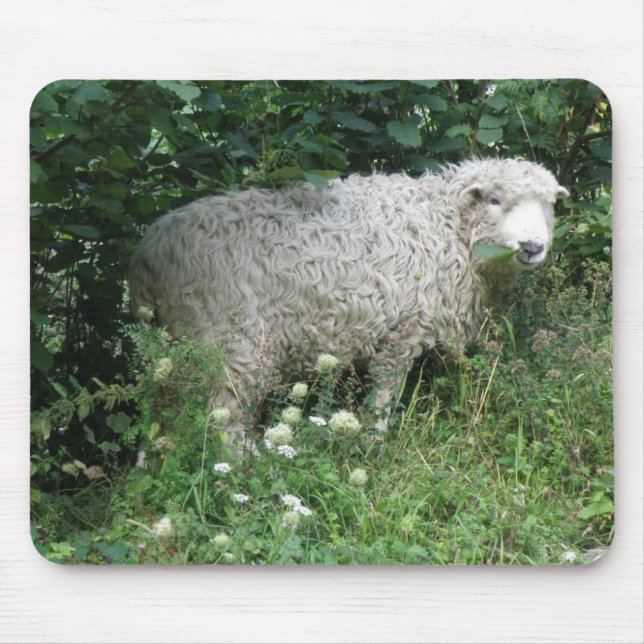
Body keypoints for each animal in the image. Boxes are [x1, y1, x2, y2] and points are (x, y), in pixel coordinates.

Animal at [129, 158, 568, 438]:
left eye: (549, 205)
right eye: (495, 200)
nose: (533, 247)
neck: (444, 225)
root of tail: (149, 253)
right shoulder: (401, 334)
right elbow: (383, 400)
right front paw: (374, 447)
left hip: (171, 345)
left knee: (157, 412)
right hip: (232, 341)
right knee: (223, 418)